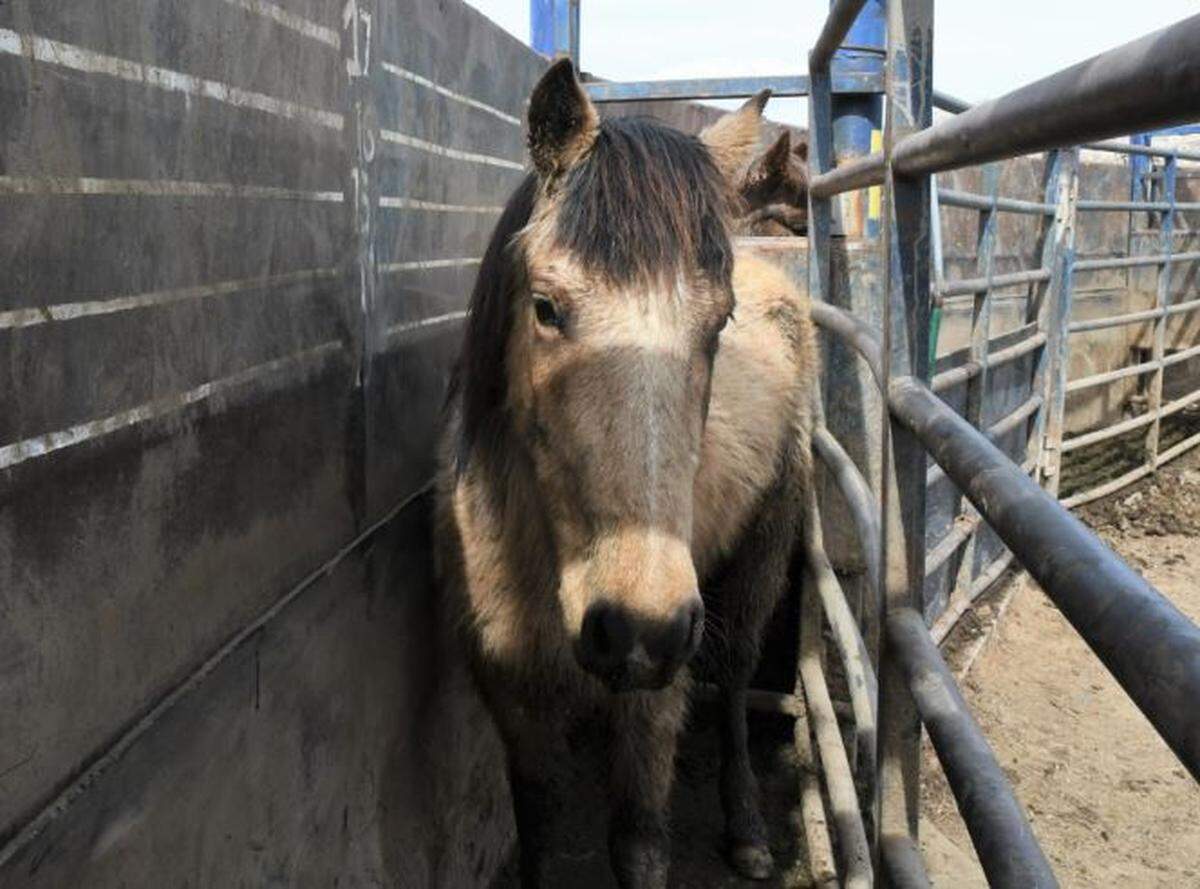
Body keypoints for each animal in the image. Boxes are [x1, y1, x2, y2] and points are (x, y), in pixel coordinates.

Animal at [434, 61, 817, 888]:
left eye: (718, 321)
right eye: (546, 307)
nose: (639, 626)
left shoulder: (653, 699)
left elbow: (640, 843)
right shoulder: (513, 699)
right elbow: (541, 832)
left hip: (758, 563)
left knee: (734, 679)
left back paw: (747, 829)